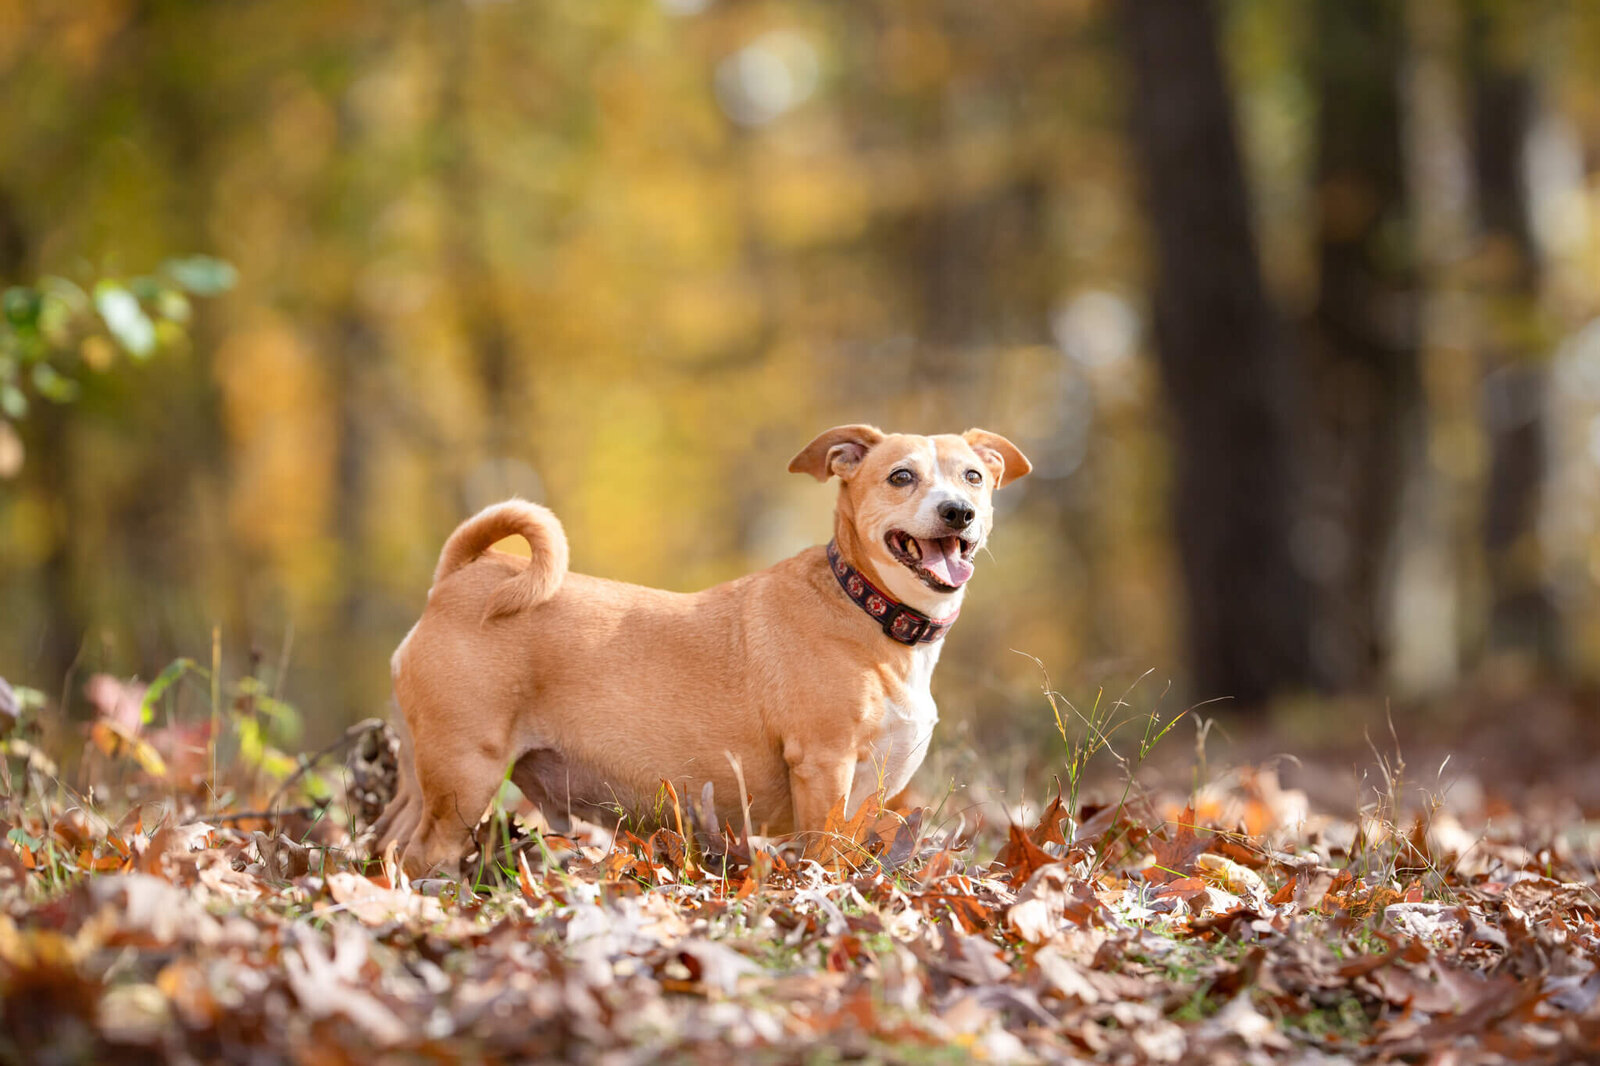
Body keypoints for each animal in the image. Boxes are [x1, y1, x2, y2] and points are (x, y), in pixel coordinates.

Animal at [369, 422, 1030, 870]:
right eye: (901, 477)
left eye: (973, 476)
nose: (959, 512)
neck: (866, 608)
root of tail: (460, 576)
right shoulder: (824, 767)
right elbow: (825, 857)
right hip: (465, 775)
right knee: (422, 853)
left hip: (423, 773)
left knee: (388, 842)